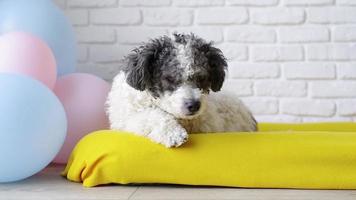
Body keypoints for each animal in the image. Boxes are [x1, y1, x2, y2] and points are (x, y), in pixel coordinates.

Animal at [105, 33, 256, 148]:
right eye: (170, 78)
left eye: (201, 78)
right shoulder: (126, 119)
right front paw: (173, 134)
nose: (194, 105)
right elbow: (152, 116)